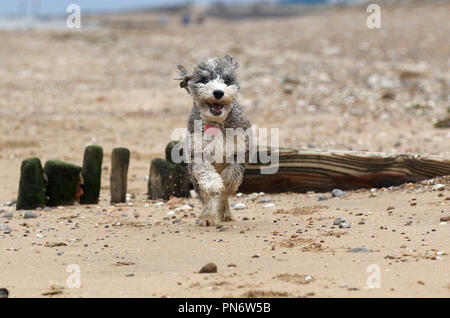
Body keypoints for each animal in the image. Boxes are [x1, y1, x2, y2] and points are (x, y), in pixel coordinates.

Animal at [178, 57, 251, 226]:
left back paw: (224, 213)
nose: (218, 92)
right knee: (206, 198)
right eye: (205, 80)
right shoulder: (197, 152)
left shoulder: (240, 150)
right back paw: (207, 217)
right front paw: (214, 185)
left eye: (227, 80)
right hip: (195, 179)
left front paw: (225, 183)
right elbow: (207, 174)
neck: (216, 123)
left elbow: (231, 176)